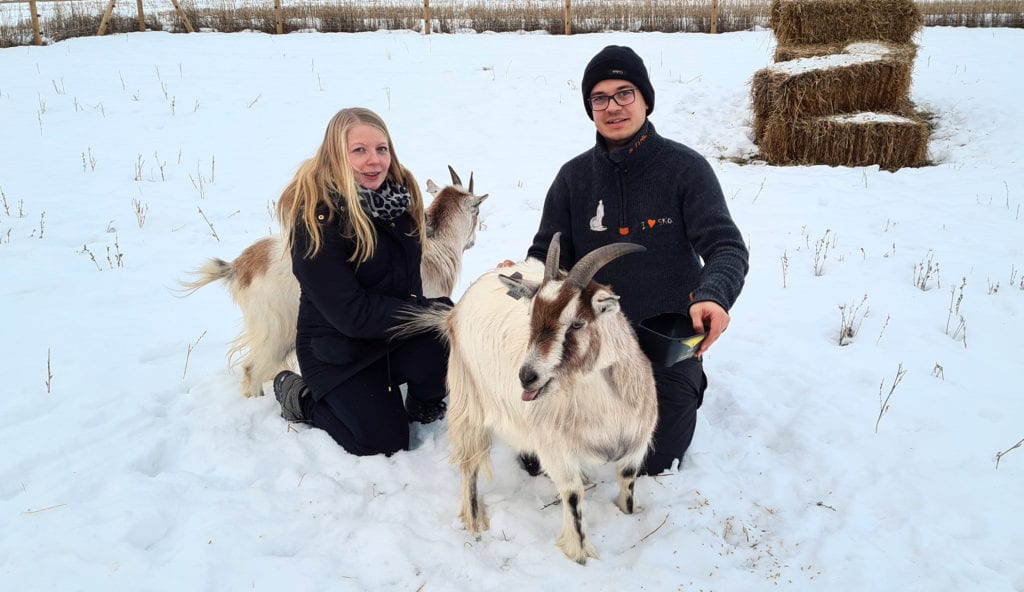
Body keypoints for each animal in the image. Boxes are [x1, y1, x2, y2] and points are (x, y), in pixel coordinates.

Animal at [182, 165, 485, 397]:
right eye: (477, 212)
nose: (472, 242)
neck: (437, 243)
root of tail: (241, 266)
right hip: (276, 330)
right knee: (251, 369)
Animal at [395, 231, 659, 561]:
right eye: (531, 316)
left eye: (577, 323)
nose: (527, 376)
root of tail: (455, 310)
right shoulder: (555, 449)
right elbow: (573, 495)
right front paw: (580, 555)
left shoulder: (635, 445)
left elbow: (627, 487)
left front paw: (627, 517)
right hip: (468, 401)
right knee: (469, 463)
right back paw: (475, 522)